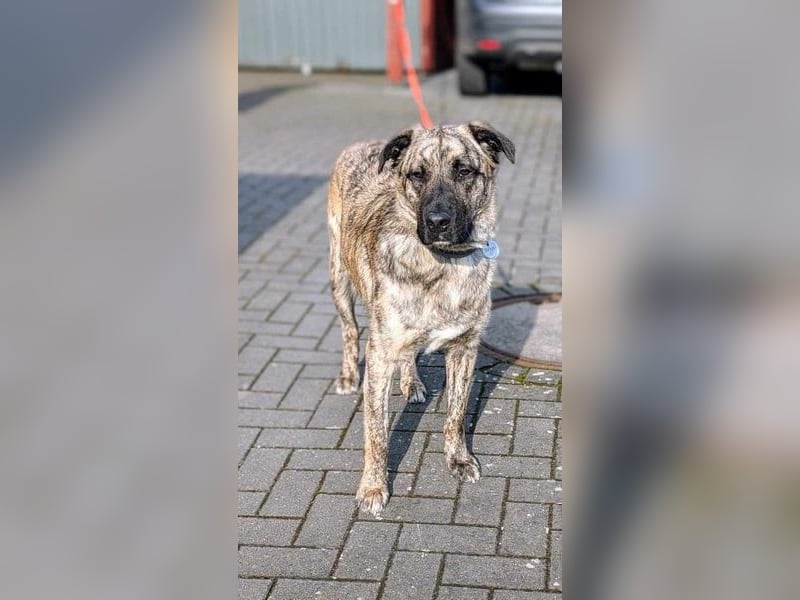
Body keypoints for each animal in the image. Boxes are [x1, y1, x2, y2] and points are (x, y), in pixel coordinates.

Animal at [327, 121, 515, 514]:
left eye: (464, 171)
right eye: (417, 175)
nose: (437, 221)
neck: (443, 264)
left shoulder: (464, 349)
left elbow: (456, 415)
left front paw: (458, 459)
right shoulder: (379, 356)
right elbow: (377, 434)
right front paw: (373, 487)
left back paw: (411, 382)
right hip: (339, 279)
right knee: (350, 332)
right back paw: (349, 375)